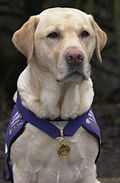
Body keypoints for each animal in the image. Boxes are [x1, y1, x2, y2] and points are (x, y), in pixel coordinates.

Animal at [4, 7, 106, 183]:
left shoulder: (88, 170)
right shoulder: (22, 169)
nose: (76, 57)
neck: (59, 120)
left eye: (85, 33)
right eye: (53, 35)